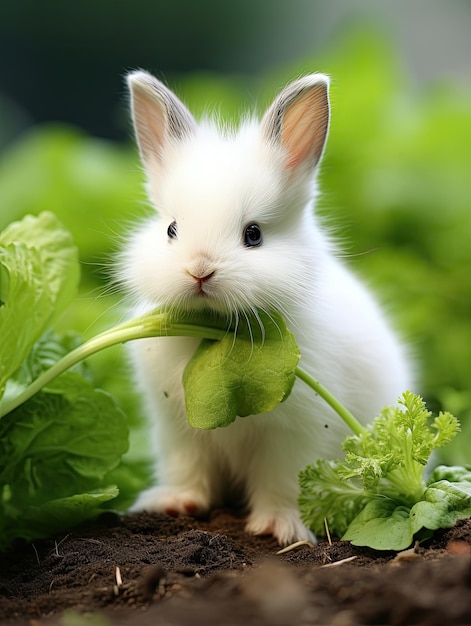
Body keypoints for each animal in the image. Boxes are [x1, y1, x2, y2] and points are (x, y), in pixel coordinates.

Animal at [119, 70, 412, 544]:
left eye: (253, 234)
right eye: (171, 229)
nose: (199, 270)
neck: (216, 336)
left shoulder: (296, 434)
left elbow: (285, 481)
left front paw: (277, 527)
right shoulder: (177, 429)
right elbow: (187, 469)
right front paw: (177, 503)